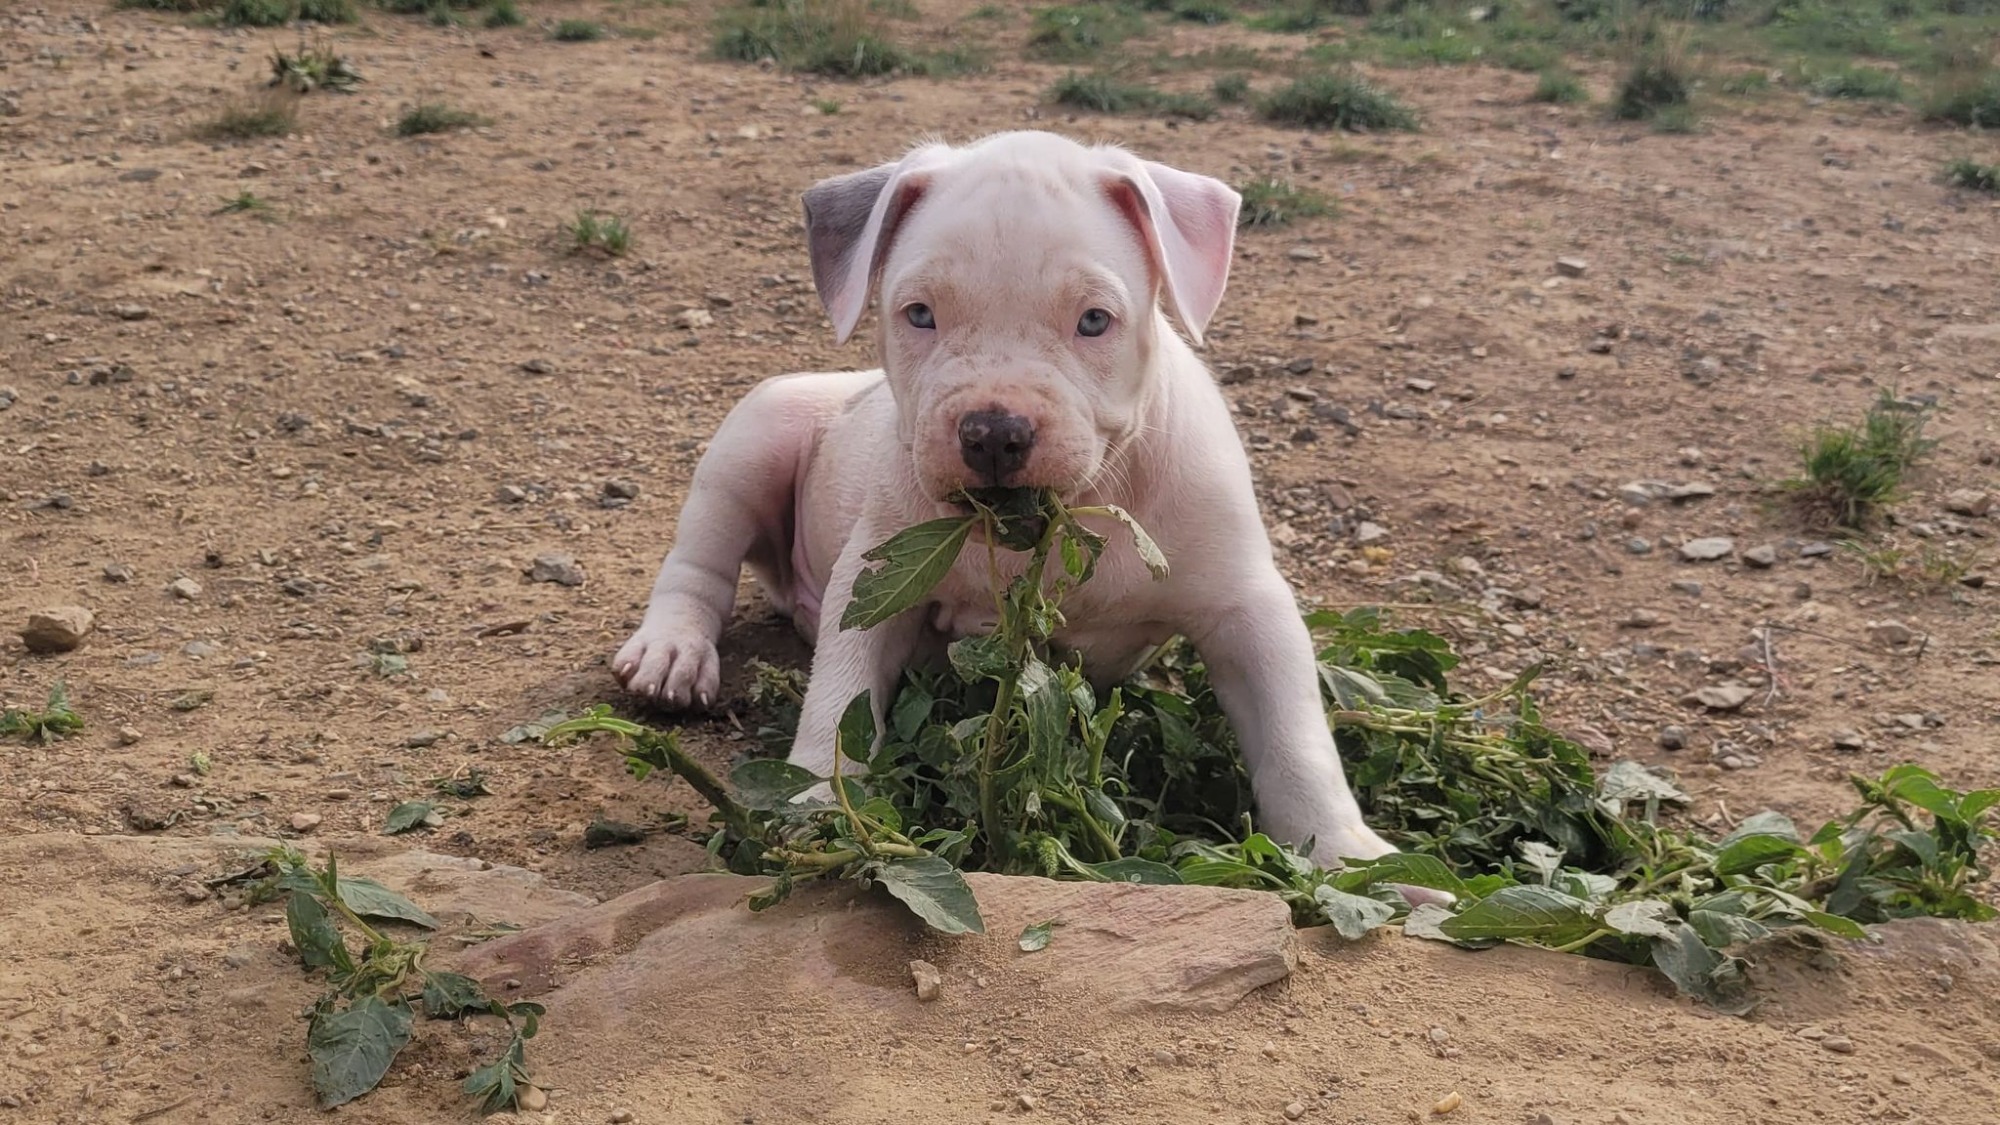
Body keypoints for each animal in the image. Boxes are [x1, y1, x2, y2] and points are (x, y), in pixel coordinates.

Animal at [616, 133, 1400, 868]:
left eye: (1094, 321)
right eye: (919, 314)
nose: (994, 432)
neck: (1074, 510)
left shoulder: (1247, 607)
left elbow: (1295, 737)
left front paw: (1350, 854)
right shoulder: (876, 585)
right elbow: (838, 702)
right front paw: (818, 809)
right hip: (757, 433)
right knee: (700, 562)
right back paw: (672, 652)